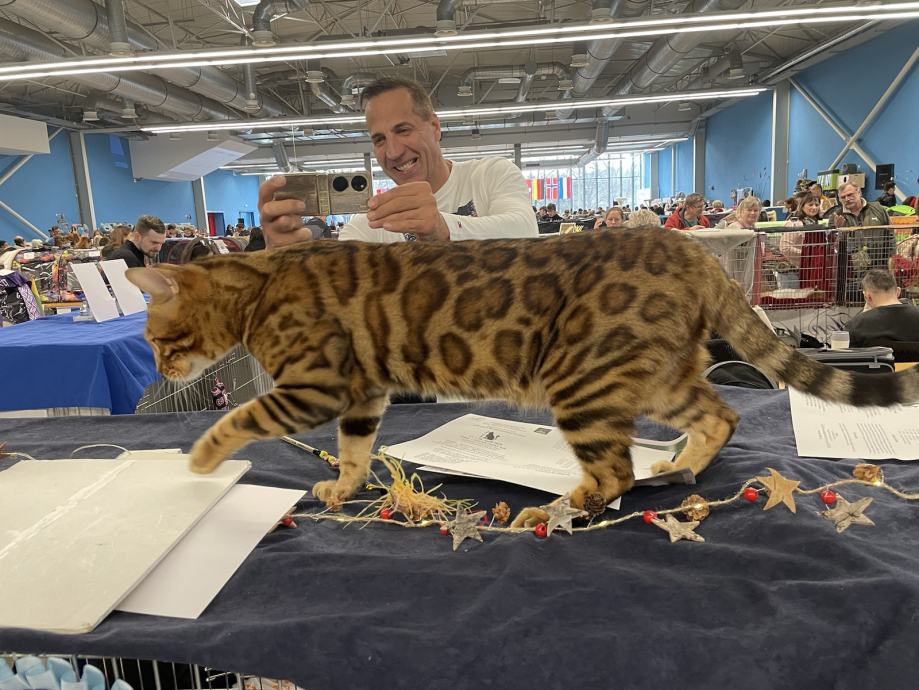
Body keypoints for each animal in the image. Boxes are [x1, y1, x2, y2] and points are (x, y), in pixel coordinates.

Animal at [126, 228, 919, 523]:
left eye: (158, 339)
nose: (158, 365)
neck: (259, 284)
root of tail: (690, 246)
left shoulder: (316, 383)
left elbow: (239, 417)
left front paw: (199, 457)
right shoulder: (361, 393)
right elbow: (353, 451)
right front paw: (342, 488)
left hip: (582, 380)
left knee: (615, 472)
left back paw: (560, 506)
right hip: (658, 375)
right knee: (715, 413)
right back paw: (682, 466)